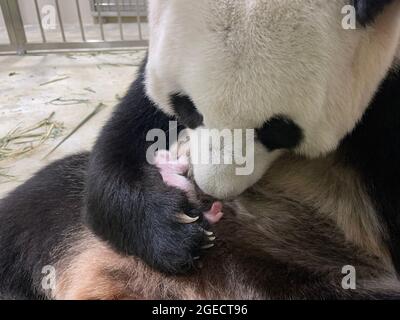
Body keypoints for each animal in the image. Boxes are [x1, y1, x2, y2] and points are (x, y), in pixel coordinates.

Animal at [0, 0, 400, 300]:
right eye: (186, 107)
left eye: (277, 130)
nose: (208, 190)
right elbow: (119, 149)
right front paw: (175, 235)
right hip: (60, 223)